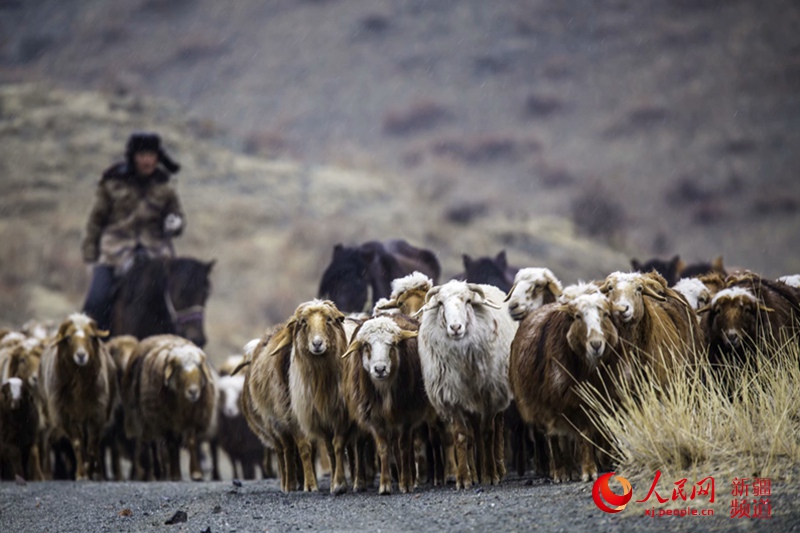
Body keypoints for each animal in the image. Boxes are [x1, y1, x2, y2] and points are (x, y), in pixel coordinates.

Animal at [38, 314, 115, 480]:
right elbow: (78, 443)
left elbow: (92, 444)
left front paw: (93, 472)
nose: (81, 355)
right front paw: (81, 474)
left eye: (92, 336)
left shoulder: (97, 413)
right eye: (68, 337)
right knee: (47, 439)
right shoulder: (64, 415)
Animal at [416, 280, 516, 488]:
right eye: (441, 304)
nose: (455, 327)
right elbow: (462, 436)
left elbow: (488, 433)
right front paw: (464, 477)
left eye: (468, 301)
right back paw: (476, 470)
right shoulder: (453, 398)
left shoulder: (490, 397)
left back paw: (498, 468)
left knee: (497, 431)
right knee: (473, 435)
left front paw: (490, 474)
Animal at [510, 290, 620, 482]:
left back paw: (572, 469)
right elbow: (579, 434)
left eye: (606, 314)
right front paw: (587, 471)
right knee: (554, 436)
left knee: (566, 438)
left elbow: (590, 433)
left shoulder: (597, 399)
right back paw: (561, 471)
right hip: (545, 404)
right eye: (578, 316)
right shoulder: (566, 401)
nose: (596, 344)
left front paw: (591, 467)